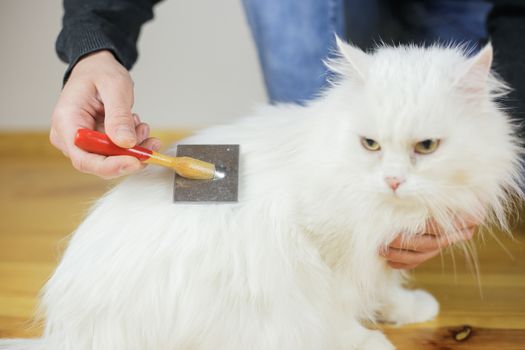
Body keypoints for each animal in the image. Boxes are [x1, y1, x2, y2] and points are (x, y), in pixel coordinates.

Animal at [2, 39, 520, 350]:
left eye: (426, 147)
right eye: (370, 145)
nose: (392, 180)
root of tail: (68, 334)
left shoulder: (380, 248)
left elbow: (384, 284)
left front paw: (405, 310)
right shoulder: (320, 251)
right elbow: (335, 306)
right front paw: (366, 339)